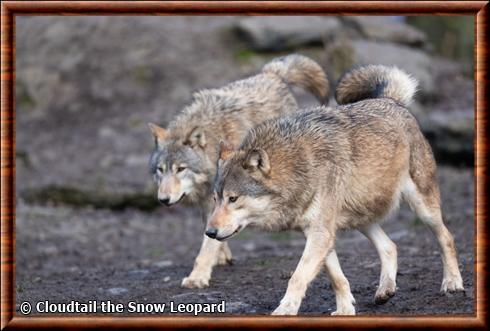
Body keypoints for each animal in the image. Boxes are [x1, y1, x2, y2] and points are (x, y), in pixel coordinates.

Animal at [148, 53, 330, 288]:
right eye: (160, 170)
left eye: (181, 169)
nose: (163, 200)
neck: (215, 137)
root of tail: (271, 73)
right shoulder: (211, 199)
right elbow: (212, 228)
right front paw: (221, 253)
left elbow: (207, 246)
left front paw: (198, 276)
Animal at [208, 65, 464, 316]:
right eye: (215, 198)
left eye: (233, 198)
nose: (209, 232)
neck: (298, 166)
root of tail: (389, 100)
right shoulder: (317, 232)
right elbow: (336, 278)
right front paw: (344, 310)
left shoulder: (320, 233)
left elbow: (297, 277)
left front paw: (285, 310)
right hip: (361, 217)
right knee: (390, 246)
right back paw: (385, 290)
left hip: (422, 207)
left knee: (446, 237)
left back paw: (452, 283)